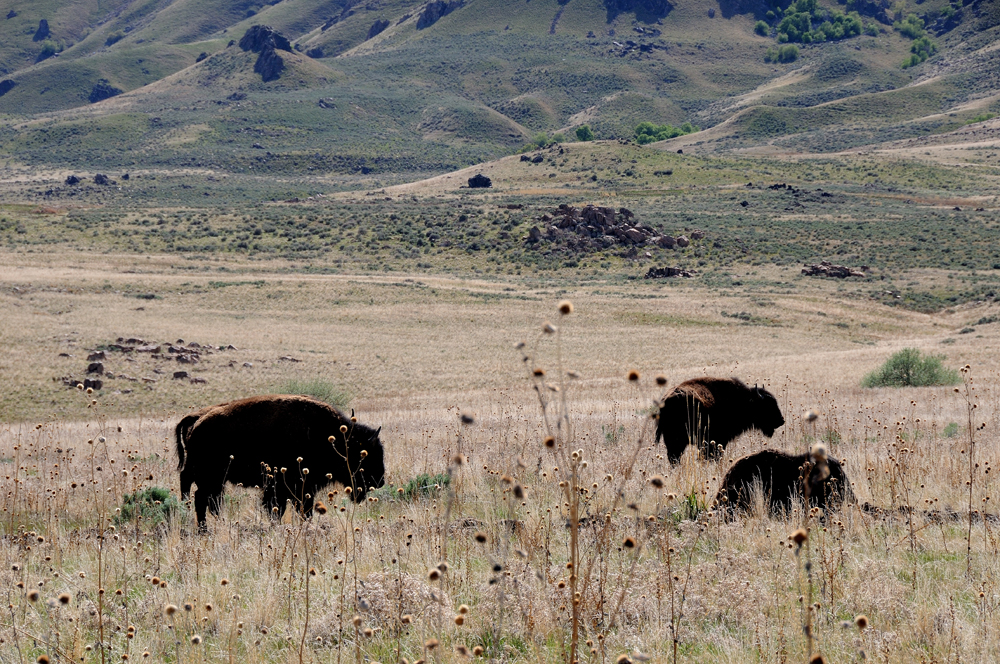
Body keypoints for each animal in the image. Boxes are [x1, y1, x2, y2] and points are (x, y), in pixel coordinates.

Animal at [176, 394, 386, 528]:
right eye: (366, 455)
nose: (380, 480)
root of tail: (196, 420)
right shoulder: (290, 486)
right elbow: (284, 508)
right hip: (211, 478)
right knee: (202, 499)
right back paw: (205, 530)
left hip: (213, 479)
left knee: (206, 499)